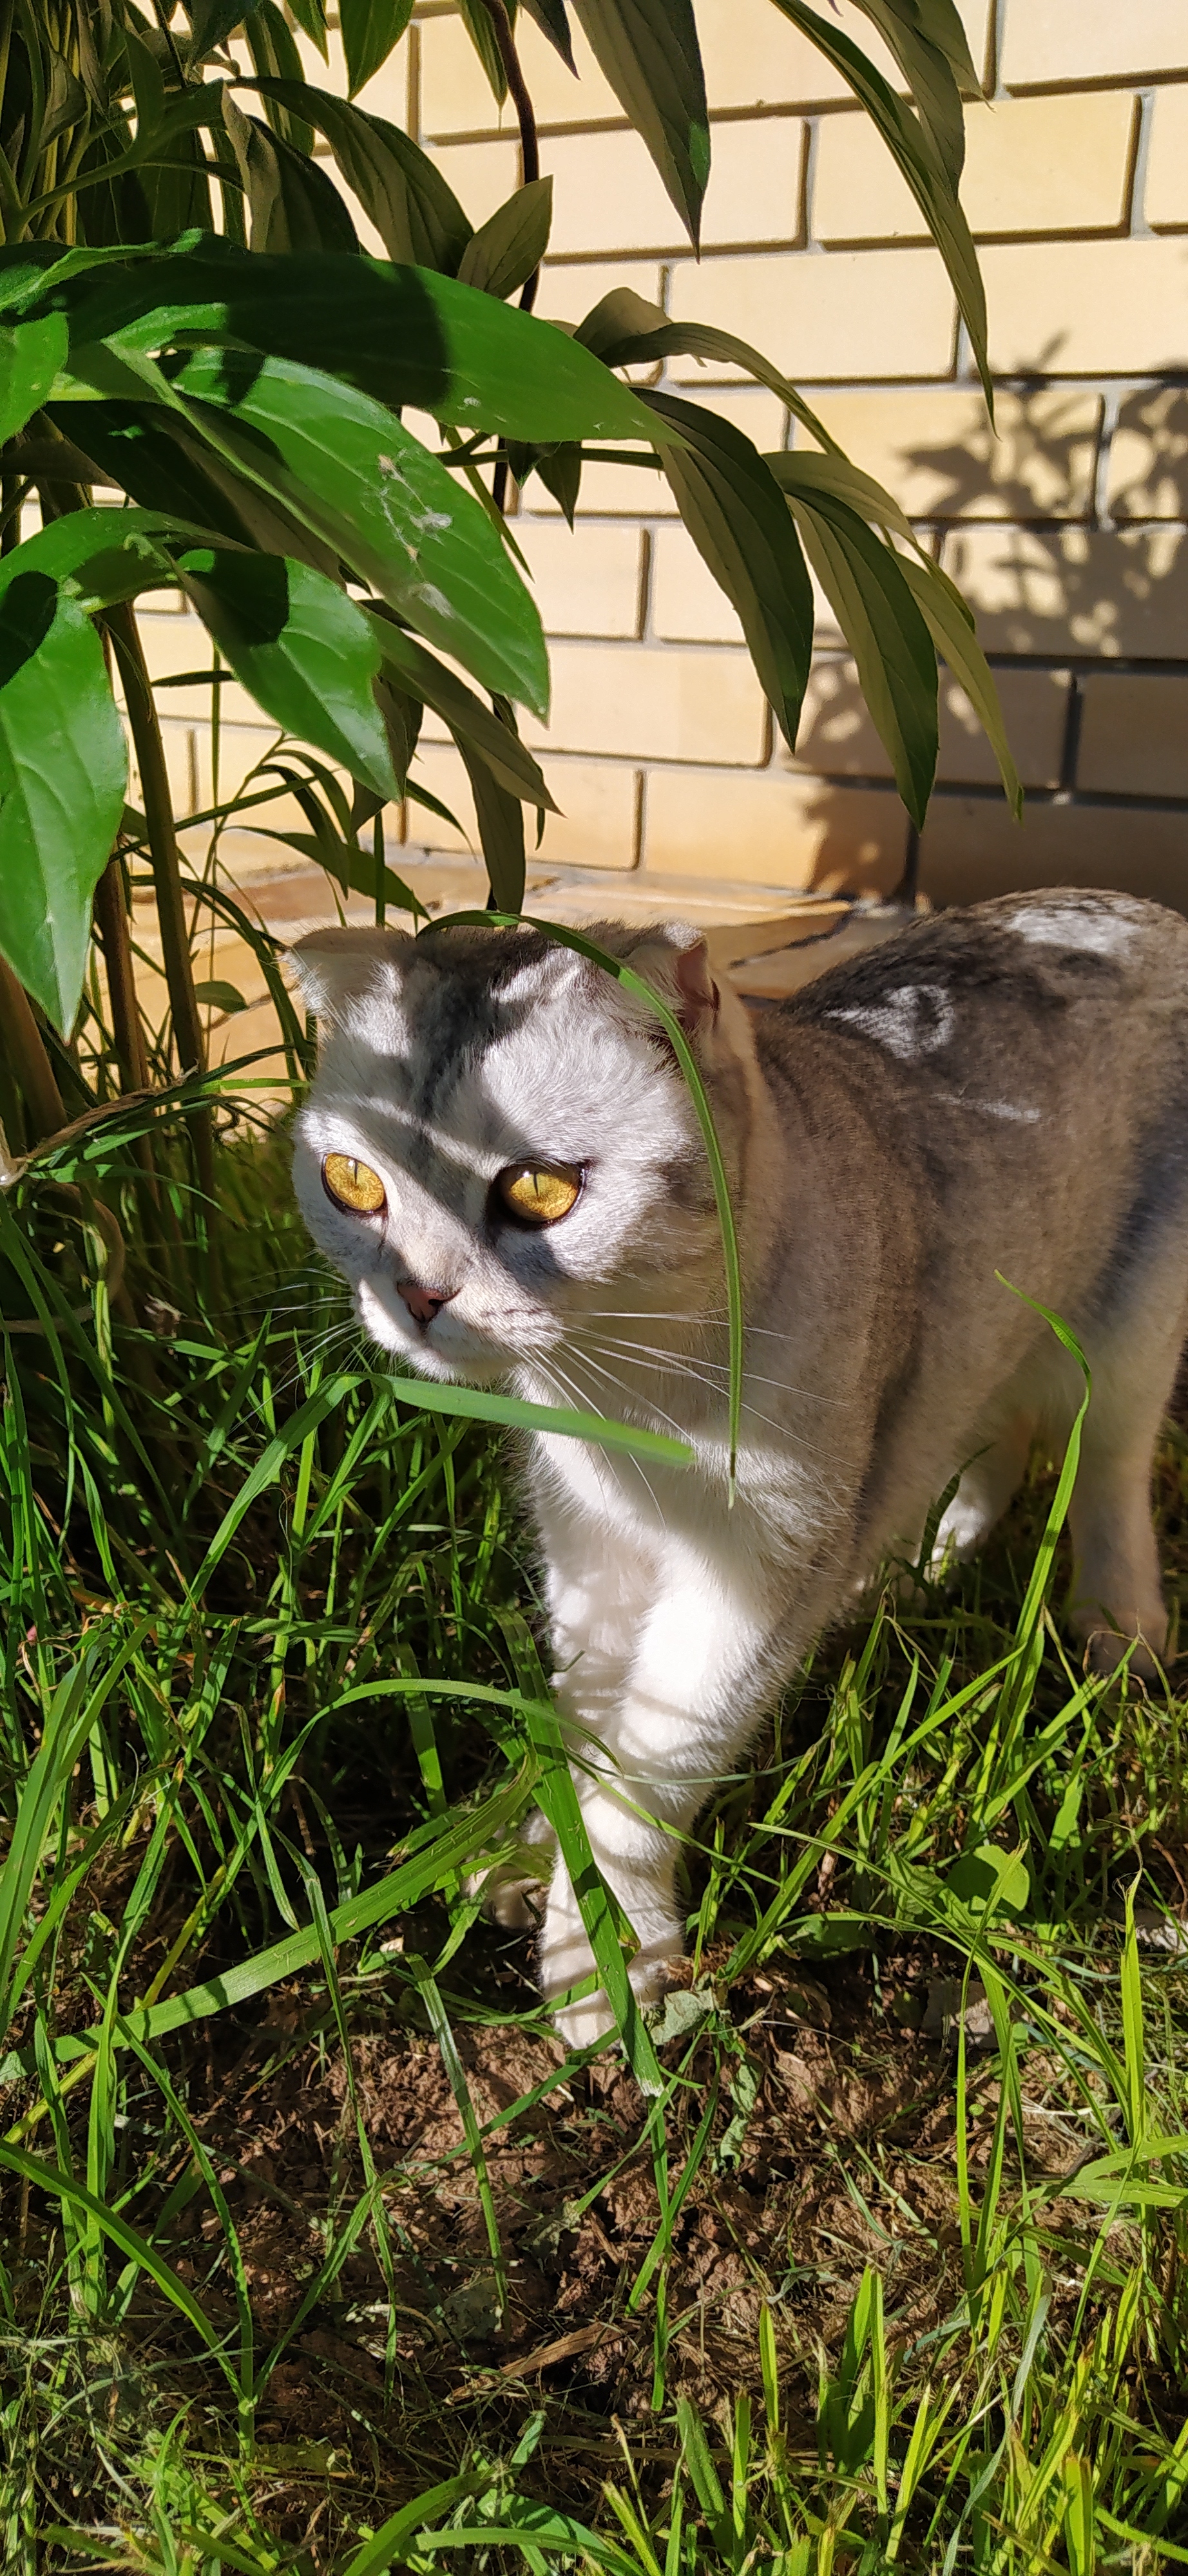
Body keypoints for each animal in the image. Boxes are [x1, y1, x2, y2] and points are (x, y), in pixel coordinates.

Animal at [291, 896, 1185, 2040]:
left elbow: (650, 1771)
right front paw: (532, 1856)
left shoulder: (752, 1571)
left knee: (1106, 1469)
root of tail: (1137, 909)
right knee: (994, 1448)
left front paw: (606, 1955)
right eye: (352, 1181)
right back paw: (913, 1572)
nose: (417, 1295)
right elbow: (581, 1726)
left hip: (1127, 1334)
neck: (622, 1400)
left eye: (538, 1189)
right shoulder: (589, 1551)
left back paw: (1116, 1634)